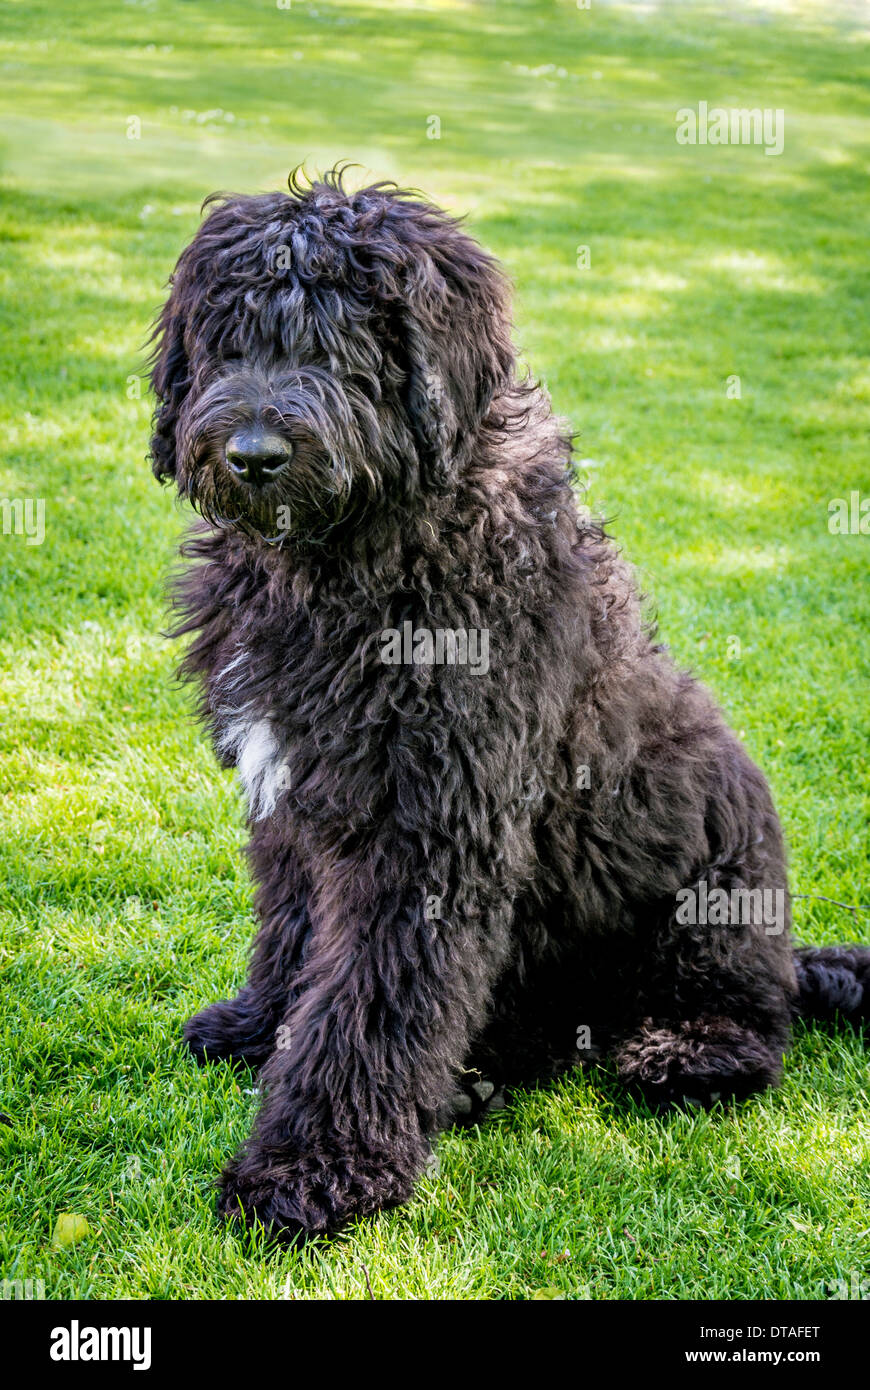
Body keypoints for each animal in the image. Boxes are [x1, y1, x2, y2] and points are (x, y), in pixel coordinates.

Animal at [150, 168, 867, 1245]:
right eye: (230, 335)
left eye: (341, 341)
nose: (252, 453)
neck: (360, 557)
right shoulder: (292, 800)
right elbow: (295, 933)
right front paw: (258, 1023)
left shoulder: (426, 830)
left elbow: (369, 1004)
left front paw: (311, 1170)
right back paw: (481, 1075)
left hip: (719, 873)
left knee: (744, 1014)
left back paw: (683, 1052)